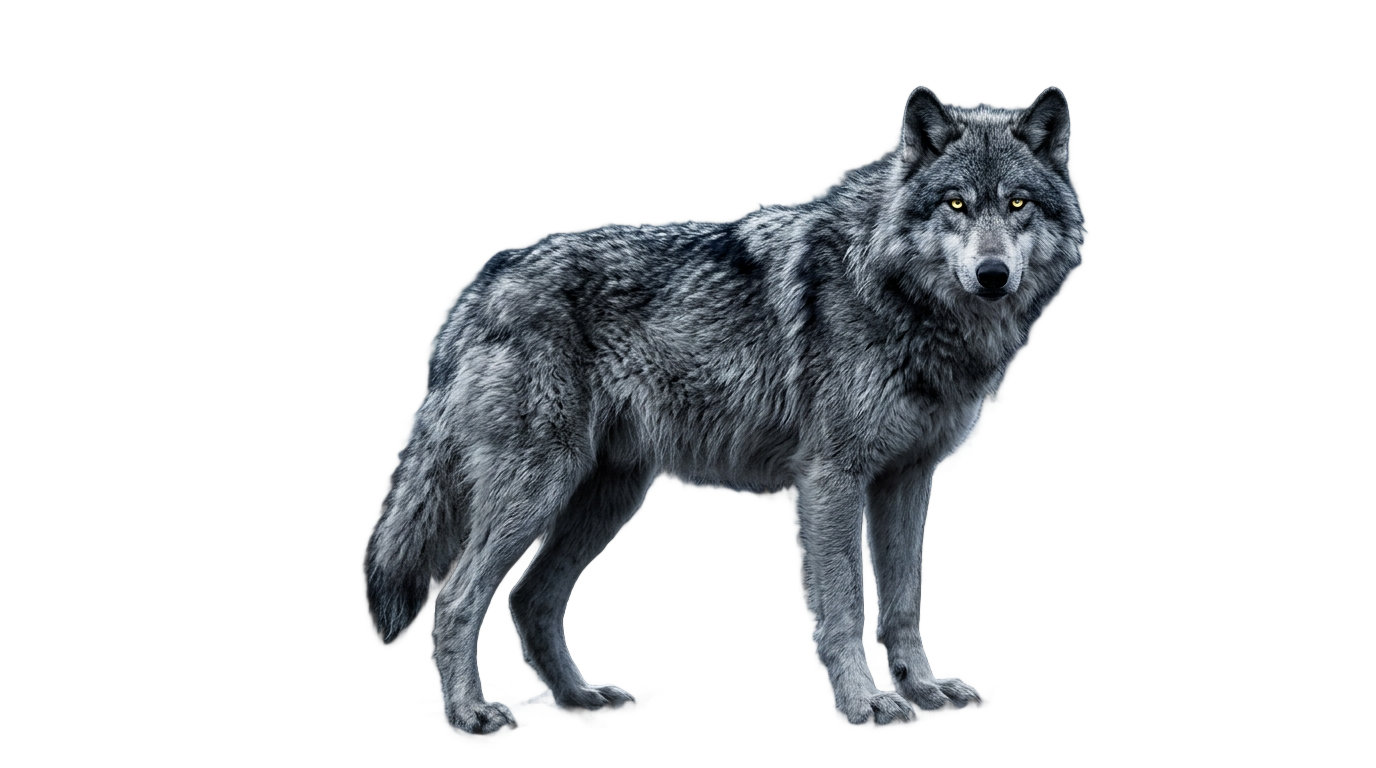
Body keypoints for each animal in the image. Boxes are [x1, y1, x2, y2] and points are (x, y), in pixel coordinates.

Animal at [364, 86, 1080, 733]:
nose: (993, 275)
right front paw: (865, 702)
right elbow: (846, 604)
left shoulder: (907, 478)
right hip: (538, 489)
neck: (902, 297)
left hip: (607, 495)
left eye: (1016, 204)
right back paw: (470, 712)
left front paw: (923, 689)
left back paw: (580, 697)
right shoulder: (832, 478)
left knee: (529, 598)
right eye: (957, 203)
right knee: (457, 598)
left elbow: (901, 603)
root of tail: (483, 288)